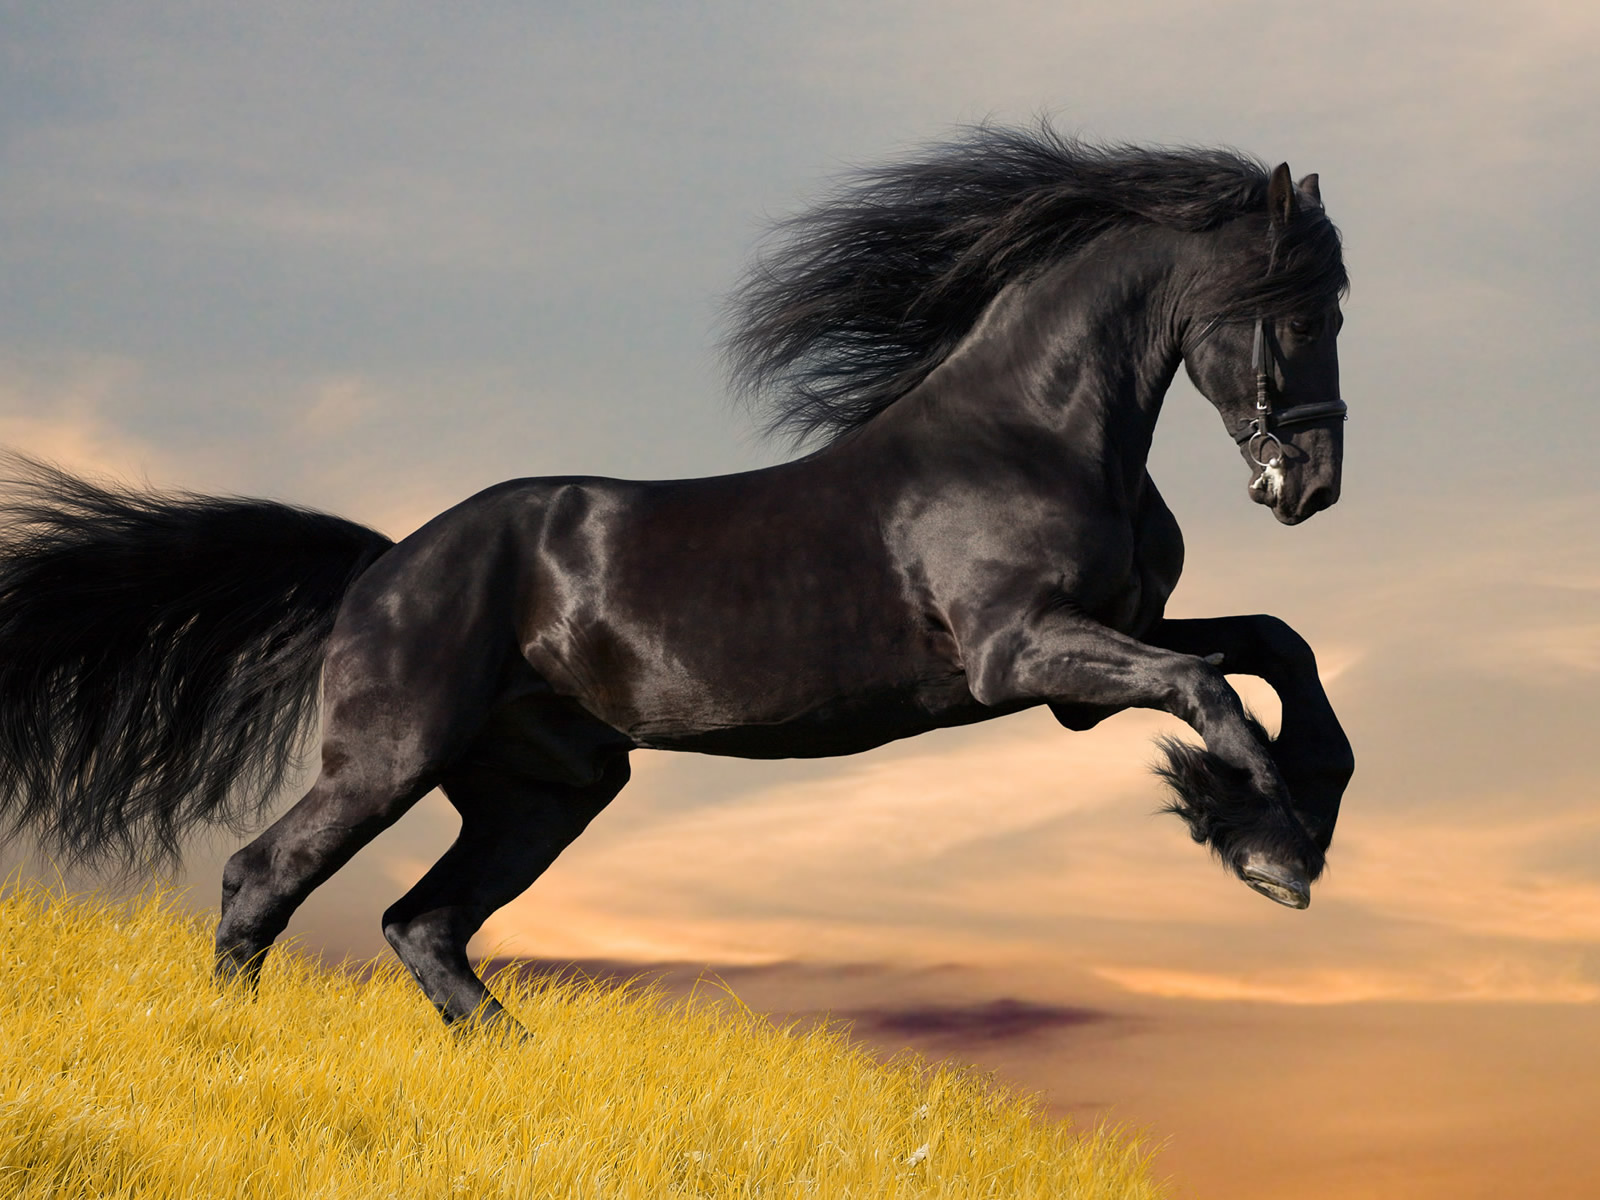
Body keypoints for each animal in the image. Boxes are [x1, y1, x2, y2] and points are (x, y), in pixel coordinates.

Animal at [0, 125, 1353, 1031]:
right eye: (1301, 313)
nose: (1313, 485)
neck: (1029, 433)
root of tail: (384, 565)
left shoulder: (1099, 651)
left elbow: (1275, 649)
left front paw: (1290, 821)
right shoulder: (1020, 654)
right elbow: (1208, 689)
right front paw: (1269, 852)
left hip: (545, 789)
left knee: (421, 923)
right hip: (389, 757)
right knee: (263, 879)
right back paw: (227, 1042)